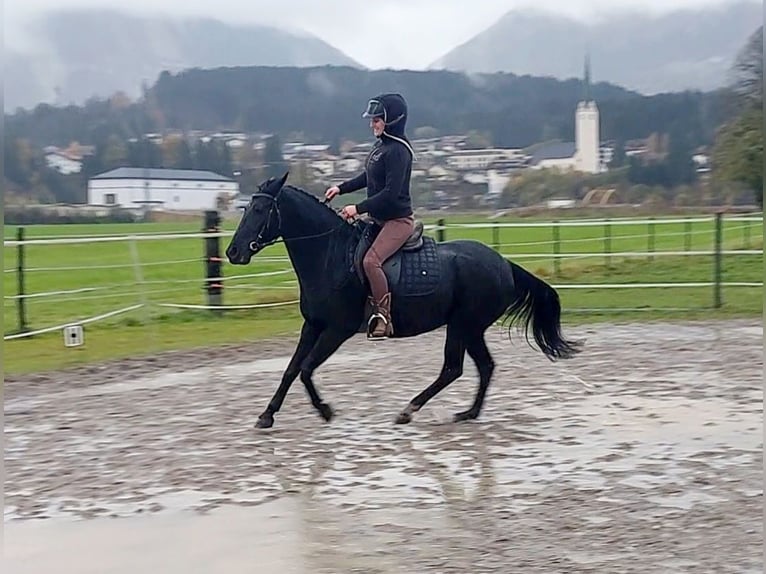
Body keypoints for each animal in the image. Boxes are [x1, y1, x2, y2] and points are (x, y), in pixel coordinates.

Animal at [225, 172, 582, 429]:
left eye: (260, 209)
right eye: (246, 208)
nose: (233, 252)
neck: (330, 256)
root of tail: (504, 264)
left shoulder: (337, 330)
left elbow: (307, 369)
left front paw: (324, 410)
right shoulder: (312, 325)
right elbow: (291, 369)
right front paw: (267, 415)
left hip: (463, 325)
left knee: (453, 368)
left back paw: (410, 410)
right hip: (470, 329)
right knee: (484, 366)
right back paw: (468, 413)